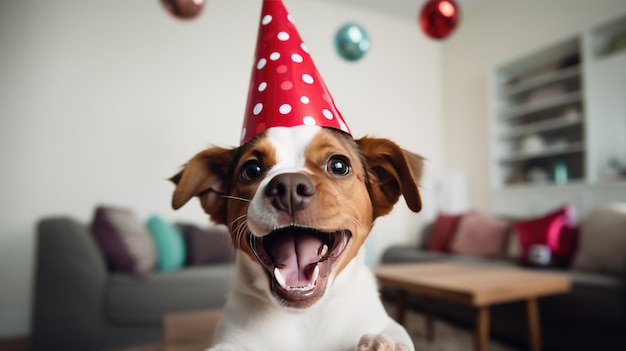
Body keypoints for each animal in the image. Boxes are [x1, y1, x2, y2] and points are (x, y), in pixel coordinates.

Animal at [169, 125, 424, 350]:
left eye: (338, 165)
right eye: (251, 170)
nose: (289, 187)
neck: (304, 318)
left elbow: (393, 332)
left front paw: (383, 343)